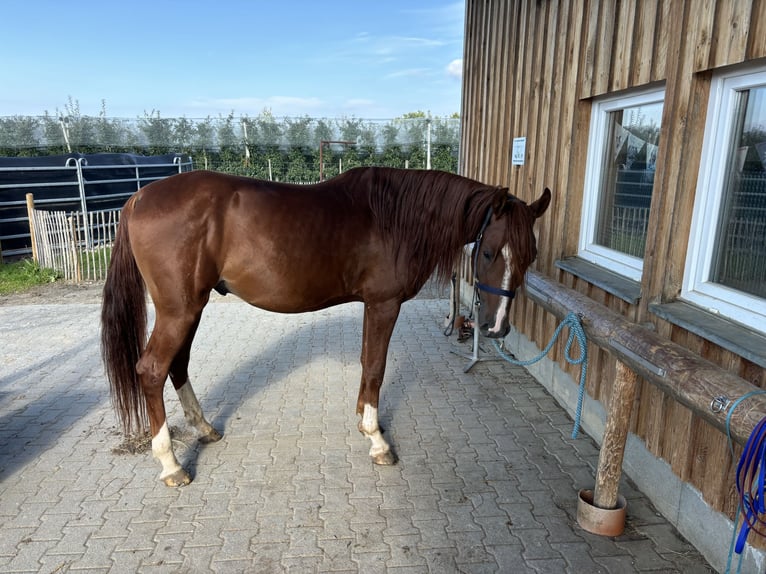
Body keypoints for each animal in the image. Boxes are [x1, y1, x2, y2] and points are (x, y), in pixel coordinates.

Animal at [100, 169, 552, 488]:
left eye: (530, 255)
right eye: (489, 251)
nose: (496, 327)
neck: (397, 218)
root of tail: (139, 197)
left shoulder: (374, 306)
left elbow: (367, 363)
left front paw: (364, 421)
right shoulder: (384, 304)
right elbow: (376, 366)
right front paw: (377, 440)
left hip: (191, 307)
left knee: (178, 365)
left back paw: (206, 429)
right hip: (179, 310)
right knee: (152, 370)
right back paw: (171, 465)